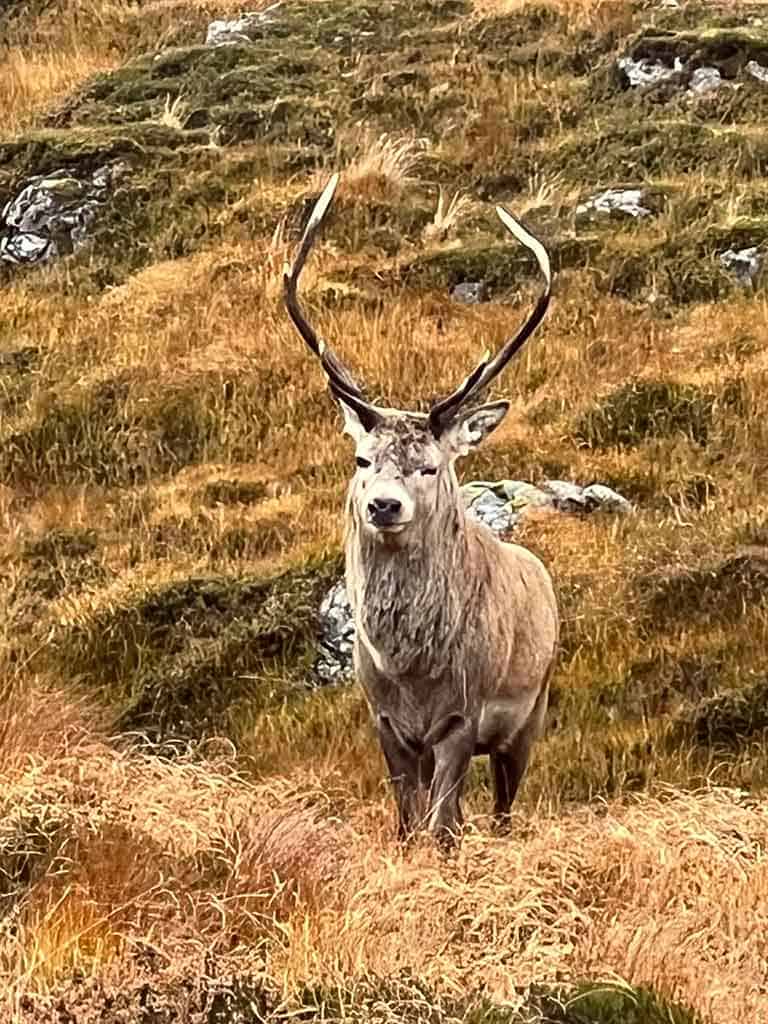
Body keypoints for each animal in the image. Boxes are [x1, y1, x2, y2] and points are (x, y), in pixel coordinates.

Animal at [283, 174, 558, 848]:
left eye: (431, 466)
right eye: (361, 458)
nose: (384, 504)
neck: (411, 672)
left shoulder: (463, 716)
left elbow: (442, 827)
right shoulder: (386, 720)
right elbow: (408, 823)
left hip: (530, 715)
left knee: (503, 811)